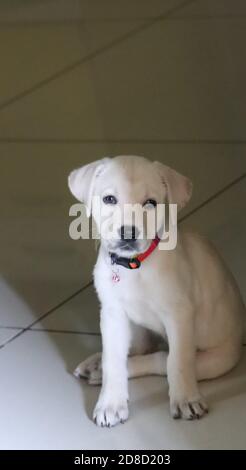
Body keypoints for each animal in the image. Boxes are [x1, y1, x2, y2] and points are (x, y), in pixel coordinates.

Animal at [68, 156, 245, 428]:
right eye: (109, 199)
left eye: (150, 203)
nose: (128, 232)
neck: (134, 266)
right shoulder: (112, 315)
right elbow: (113, 361)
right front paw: (110, 403)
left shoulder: (179, 315)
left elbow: (178, 362)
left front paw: (186, 400)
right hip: (137, 330)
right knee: (135, 352)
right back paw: (95, 365)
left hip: (217, 359)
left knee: (162, 359)